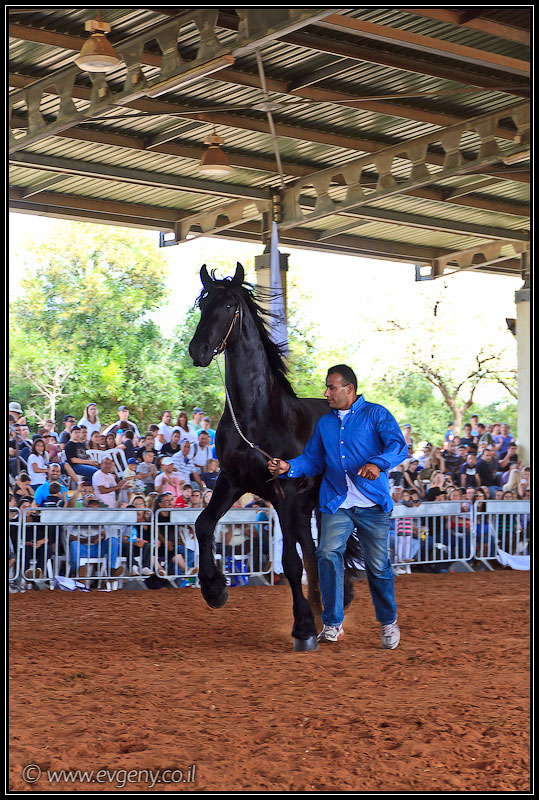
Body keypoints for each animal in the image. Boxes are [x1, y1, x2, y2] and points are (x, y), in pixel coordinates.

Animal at [188, 262, 356, 652]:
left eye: (230, 306)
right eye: (203, 304)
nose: (198, 350)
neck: (259, 415)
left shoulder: (286, 494)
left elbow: (290, 563)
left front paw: (303, 629)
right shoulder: (233, 482)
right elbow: (203, 524)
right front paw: (214, 589)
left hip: (320, 504)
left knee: (323, 555)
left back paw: (328, 612)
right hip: (307, 507)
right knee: (314, 553)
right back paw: (323, 614)